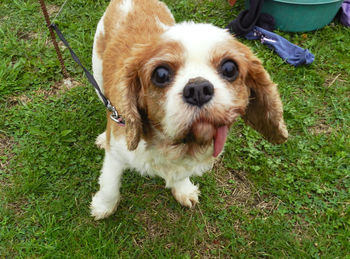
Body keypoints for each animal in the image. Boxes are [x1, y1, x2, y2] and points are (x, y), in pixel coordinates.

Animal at [89, 0, 288, 220]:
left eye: (230, 68)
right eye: (161, 74)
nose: (198, 89)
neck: (173, 145)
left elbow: (182, 173)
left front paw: (183, 189)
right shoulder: (117, 151)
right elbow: (110, 184)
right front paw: (103, 206)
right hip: (98, 75)